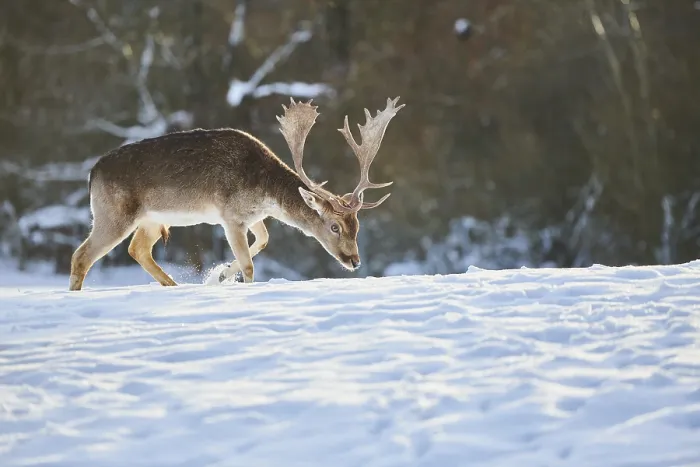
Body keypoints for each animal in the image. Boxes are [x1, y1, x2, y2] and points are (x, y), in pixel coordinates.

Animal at [68, 96, 405, 291]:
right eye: (334, 226)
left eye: (356, 226)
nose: (354, 261)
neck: (264, 191)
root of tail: (92, 173)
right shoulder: (229, 216)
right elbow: (249, 265)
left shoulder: (251, 216)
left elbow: (265, 239)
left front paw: (219, 275)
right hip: (113, 213)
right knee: (82, 256)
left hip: (151, 219)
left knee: (137, 249)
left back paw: (174, 284)